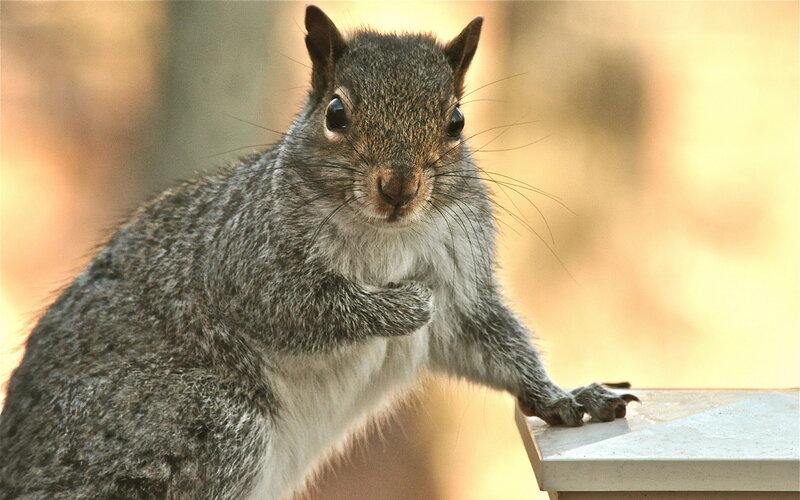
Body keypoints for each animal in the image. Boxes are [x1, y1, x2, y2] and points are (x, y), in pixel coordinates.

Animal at [0, 6, 637, 500]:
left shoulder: (464, 281)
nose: (399, 188)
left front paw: (564, 399)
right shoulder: (244, 260)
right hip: (203, 420)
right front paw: (403, 306)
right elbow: (301, 307)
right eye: (336, 113)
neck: (388, 233)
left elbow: (490, 341)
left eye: (456, 121)